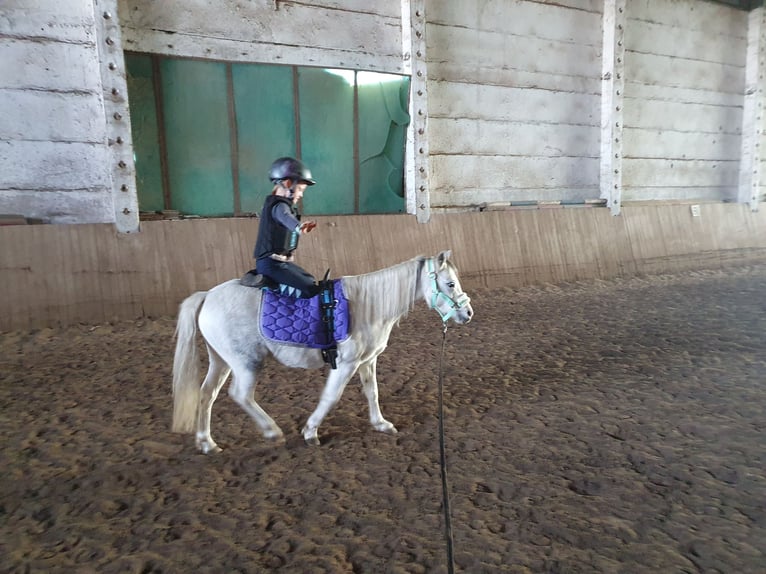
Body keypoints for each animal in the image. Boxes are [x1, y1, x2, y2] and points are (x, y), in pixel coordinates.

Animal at [172, 251, 474, 454]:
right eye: (450, 284)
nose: (468, 313)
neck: (368, 305)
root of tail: (207, 296)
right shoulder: (347, 363)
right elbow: (331, 397)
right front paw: (310, 432)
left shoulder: (367, 360)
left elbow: (372, 392)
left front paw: (381, 424)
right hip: (246, 362)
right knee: (240, 395)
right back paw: (272, 432)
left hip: (221, 360)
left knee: (207, 393)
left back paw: (207, 442)